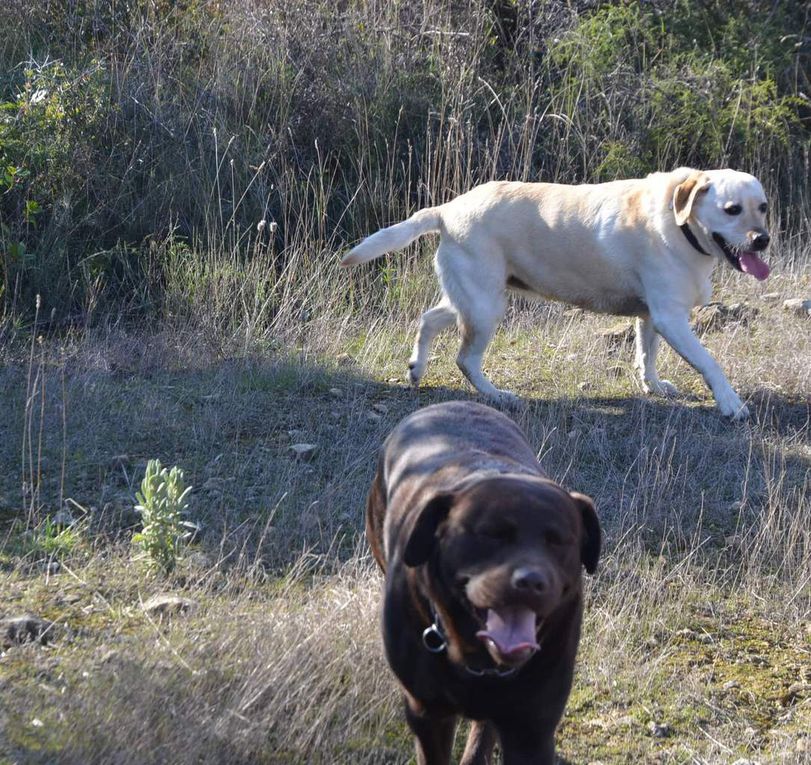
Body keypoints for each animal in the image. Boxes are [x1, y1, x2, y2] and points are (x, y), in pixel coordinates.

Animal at [342, 168, 772, 418]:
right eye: (732, 209)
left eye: (763, 207)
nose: (763, 240)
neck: (680, 223)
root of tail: (447, 209)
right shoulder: (671, 317)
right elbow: (710, 362)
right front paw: (730, 402)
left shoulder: (653, 315)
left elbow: (646, 355)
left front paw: (653, 386)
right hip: (485, 307)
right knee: (465, 359)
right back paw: (498, 396)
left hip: (470, 299)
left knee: (429, 319)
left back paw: (416, 368)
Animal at [368, 400, 604, 764]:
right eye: (491, 534)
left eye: (558, 540)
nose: (531, 582)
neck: (480, 663)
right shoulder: (426, 713)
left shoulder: (532, 726)